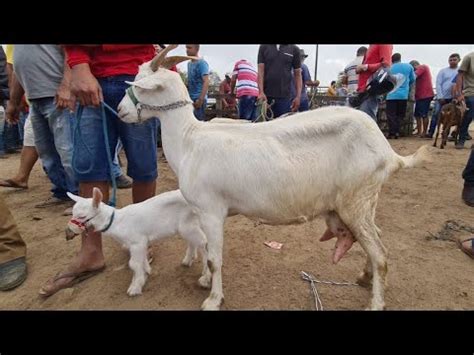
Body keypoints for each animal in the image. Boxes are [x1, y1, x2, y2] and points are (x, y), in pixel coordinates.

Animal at [65, 189, 209, 298]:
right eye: (73, 213)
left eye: (82, 216)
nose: (69, 231)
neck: (117, 222)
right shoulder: (139, 244)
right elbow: (141, 261)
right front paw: (145, 273)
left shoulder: (137, 242)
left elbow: (133, 264)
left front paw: (135, 287)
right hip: (187, 225)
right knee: (194, 241)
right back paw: (188, 260)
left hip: (188, 225)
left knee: (204, 242)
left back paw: (206, 274)